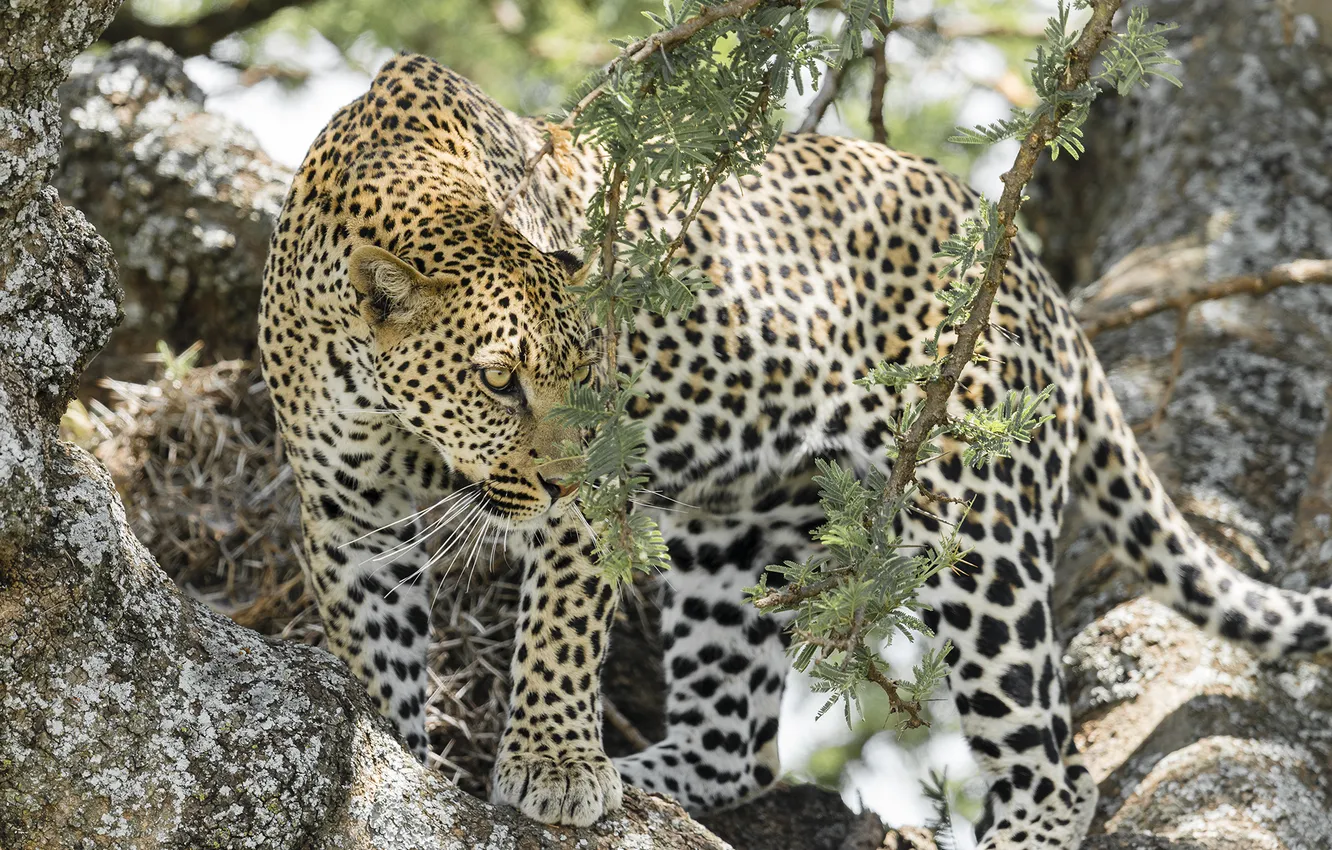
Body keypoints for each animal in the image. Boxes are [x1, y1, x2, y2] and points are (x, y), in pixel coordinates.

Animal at [259, 53, 1332, 848]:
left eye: (589, 375)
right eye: (496, 379)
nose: (572, 476)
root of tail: (1026, 265)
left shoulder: (585, 511)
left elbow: (559, 626)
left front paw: (553, 765)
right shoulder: (346, 525)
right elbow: (377, 662)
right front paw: (404, 764)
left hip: (973, 518)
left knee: (1055, 771)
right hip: (734, 536)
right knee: (736, 746)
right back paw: (644, 780)